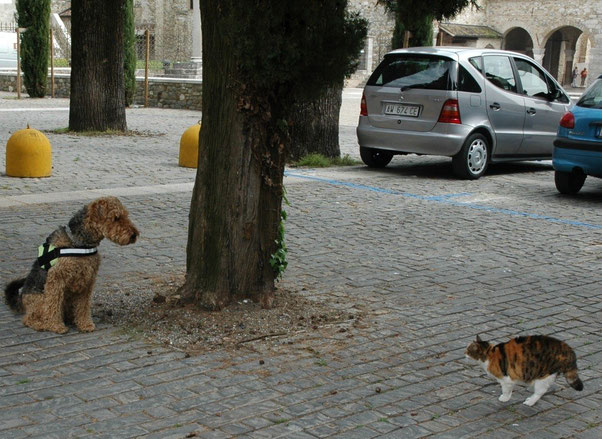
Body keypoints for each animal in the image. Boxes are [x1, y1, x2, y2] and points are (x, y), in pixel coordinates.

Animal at [4, 198, 138, 336]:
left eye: (125, 215)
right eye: (116, 218)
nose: (134, 235)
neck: (79, 242)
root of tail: (22, 299)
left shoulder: (88, 280)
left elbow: (83, 306)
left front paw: (85, 324)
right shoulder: (56, 279)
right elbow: (54, 305)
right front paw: (56, 326)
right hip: (40, 298)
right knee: (30, 318)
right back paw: (42, 324)